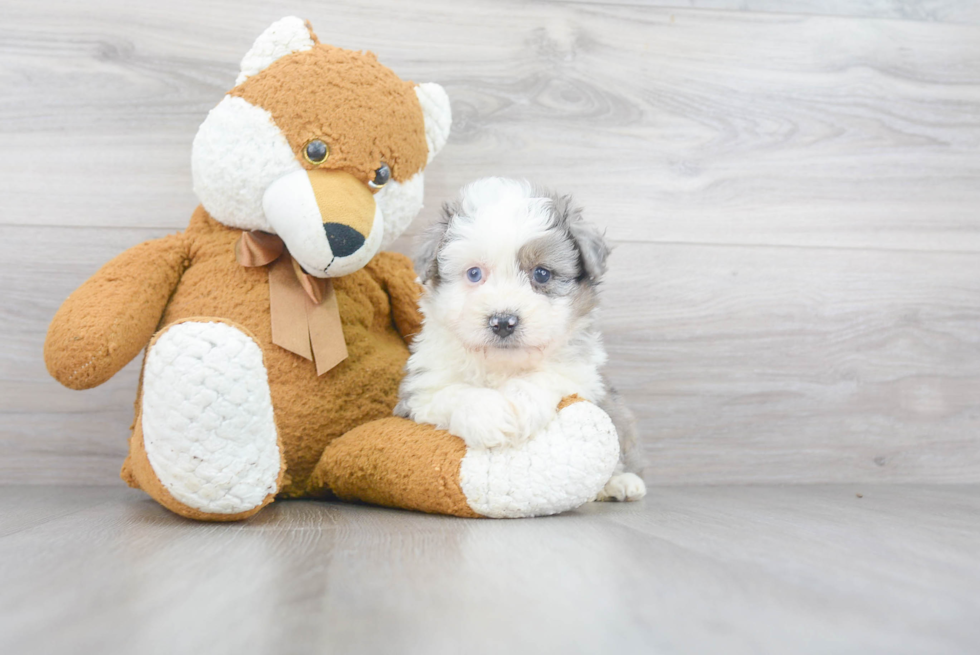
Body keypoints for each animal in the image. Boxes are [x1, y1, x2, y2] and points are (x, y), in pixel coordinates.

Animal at [394, 177, 648, 500]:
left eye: (541, 274)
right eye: (474, 274)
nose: (503, 322)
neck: (502, 366)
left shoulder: (582, 376)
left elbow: (545, 376)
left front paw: (518, 404)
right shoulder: (419, 393)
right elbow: (454, 392)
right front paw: (490, 416)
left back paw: (622, 482)